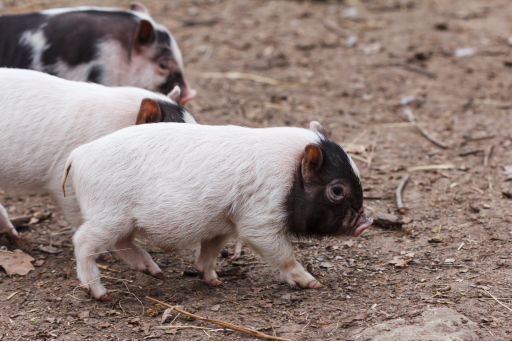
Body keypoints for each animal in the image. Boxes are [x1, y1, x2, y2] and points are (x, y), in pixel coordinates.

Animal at [63, 120, 372, 300]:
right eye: (337, 190)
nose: (366, 222)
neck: (290, 177)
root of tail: (77, 155)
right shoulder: (258, 218)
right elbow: (281, 252)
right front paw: (313, 284)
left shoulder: (225, 222)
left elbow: (210, 250)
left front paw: (214, 282)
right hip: (108, 213)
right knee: (83, 241)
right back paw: (100, 293)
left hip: (120, 219)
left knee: (122, 243)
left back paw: (157, 273)